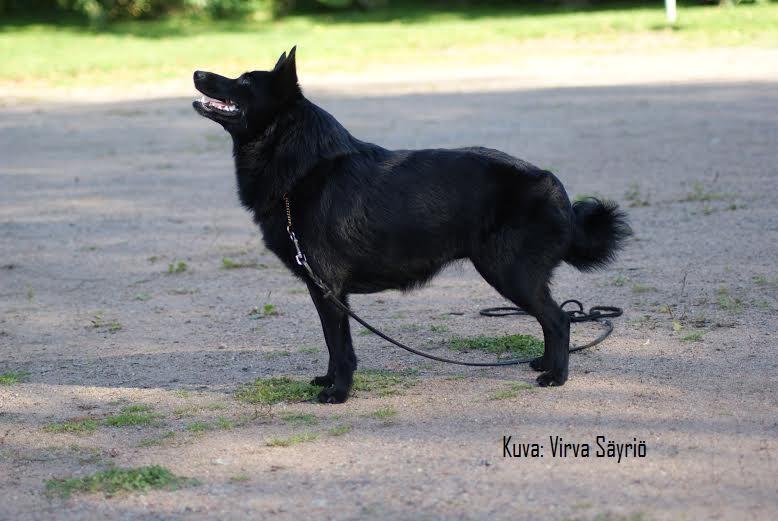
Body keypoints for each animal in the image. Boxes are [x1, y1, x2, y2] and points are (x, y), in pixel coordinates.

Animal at [191, 47, 628, 402]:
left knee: (559, 320)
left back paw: (557, 377)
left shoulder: (328, 288)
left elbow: (340, 345)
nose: (197, 71)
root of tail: (555, 187)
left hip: (510, 274)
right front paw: (330, 381)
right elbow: (334, 345)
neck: (303, 167)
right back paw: (544, 363)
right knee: (551, 320)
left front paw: (339, 393)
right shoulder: (326, 292)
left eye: (244, 81)